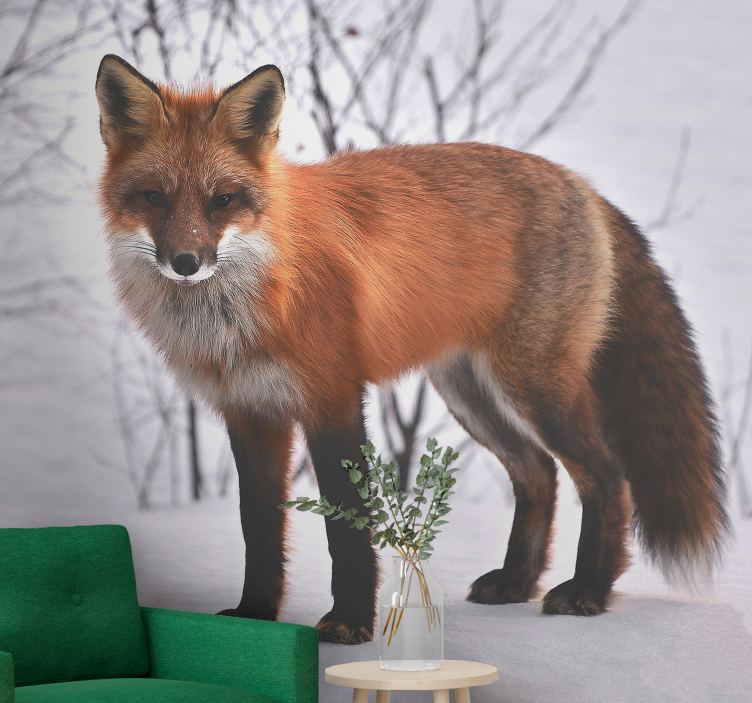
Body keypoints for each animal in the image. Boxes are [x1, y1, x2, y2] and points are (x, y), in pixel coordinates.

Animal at [95, 54, 728, 644]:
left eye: (222, 200)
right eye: (154, 197)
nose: (186, 262)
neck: (253, 298)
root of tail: (583, 186)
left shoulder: (333, 399)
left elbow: (347, 527)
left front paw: (350, 624)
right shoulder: (250, 413)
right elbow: (260, 531)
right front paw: (255, 619)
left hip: (535, 387)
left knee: (607, 477)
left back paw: (589, 590)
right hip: (470, 395)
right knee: (539, 473)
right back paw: (517, 582)